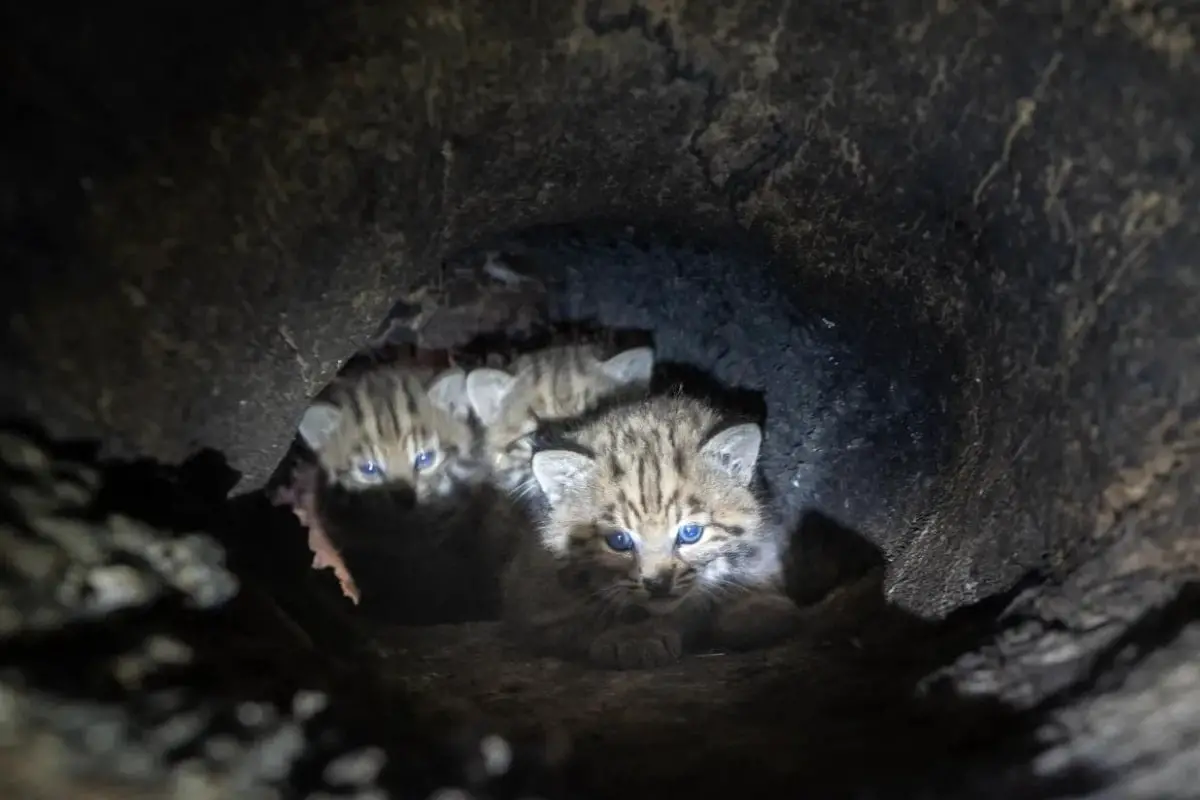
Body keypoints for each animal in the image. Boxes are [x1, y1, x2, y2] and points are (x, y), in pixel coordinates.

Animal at [501, 393, 801, 671]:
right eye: (618, 540)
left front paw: (754, 605)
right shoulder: (534, 600)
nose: (659, 585)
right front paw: (633, 637)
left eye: (691, 533)